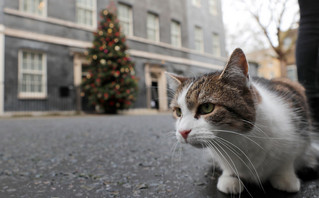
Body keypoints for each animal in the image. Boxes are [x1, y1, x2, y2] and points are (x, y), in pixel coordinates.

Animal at [168, 48, 319, 195]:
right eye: (178, 112)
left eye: (207, 107)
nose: (182, 132)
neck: (237, 140)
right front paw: (230, 177)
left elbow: (287, 161)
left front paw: (285, 178)